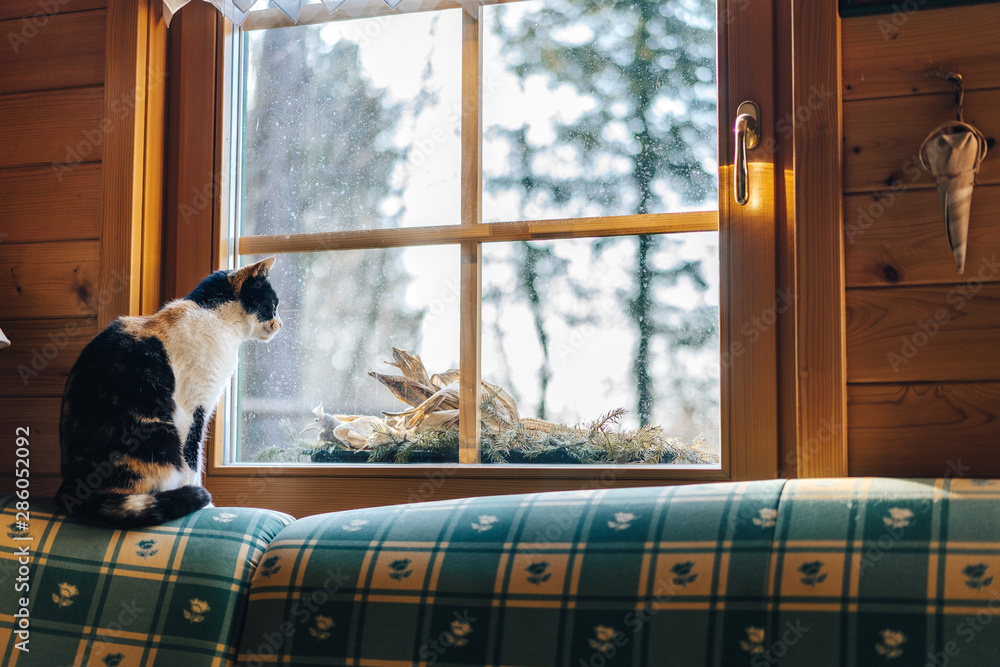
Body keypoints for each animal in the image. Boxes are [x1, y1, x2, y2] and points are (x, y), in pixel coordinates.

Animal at [58, 256, 282, 528]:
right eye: (272, 305)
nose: (280, 324)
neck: (215, 318)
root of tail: (69, 489)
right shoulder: (192, 409)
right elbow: (192, 460)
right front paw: (202, 503)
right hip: (159, 435)